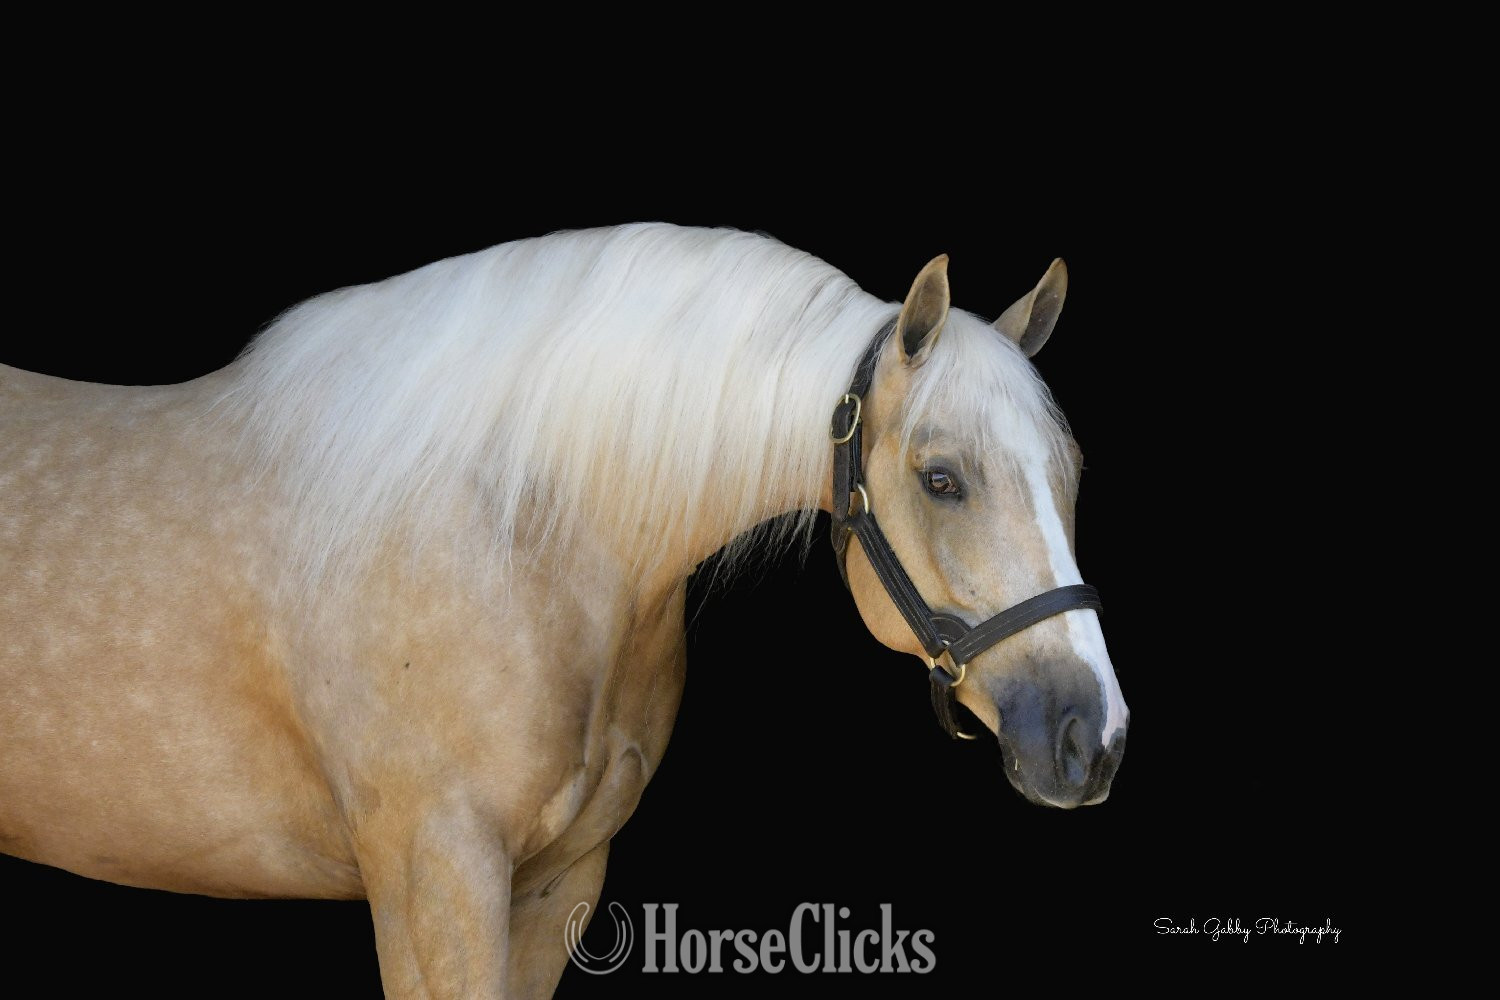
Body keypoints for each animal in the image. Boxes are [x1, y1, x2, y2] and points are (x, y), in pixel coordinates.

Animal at [0, 223, 1127, 998]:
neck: (515, 528)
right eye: (942, 479)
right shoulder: (434, 880)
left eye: (1069, 471)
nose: (1093, 738)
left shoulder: (558, 883)